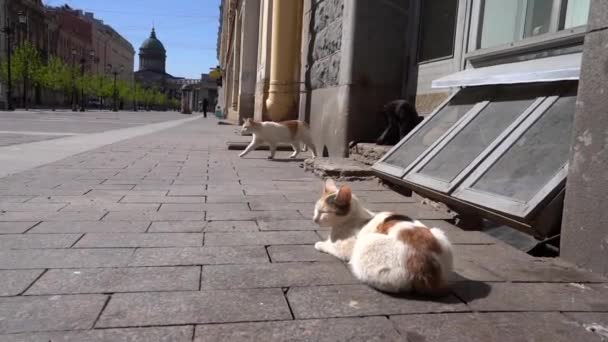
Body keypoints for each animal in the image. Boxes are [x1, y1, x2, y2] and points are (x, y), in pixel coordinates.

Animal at [314, 179, 452, 294]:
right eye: (315, 209)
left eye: (324, 212)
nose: (314, 219)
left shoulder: (345, 248)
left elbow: (330, 246)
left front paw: (320, 244)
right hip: (439, 233)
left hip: (366, 244)